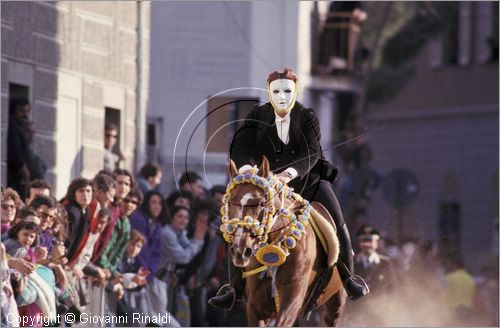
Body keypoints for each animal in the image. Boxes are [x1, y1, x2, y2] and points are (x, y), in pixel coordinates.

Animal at [225, 158, 346, 326]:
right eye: (230, 203)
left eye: (261, 203)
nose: (240, 250)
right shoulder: (256, 307)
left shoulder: (291, 303)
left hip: (336, 301)